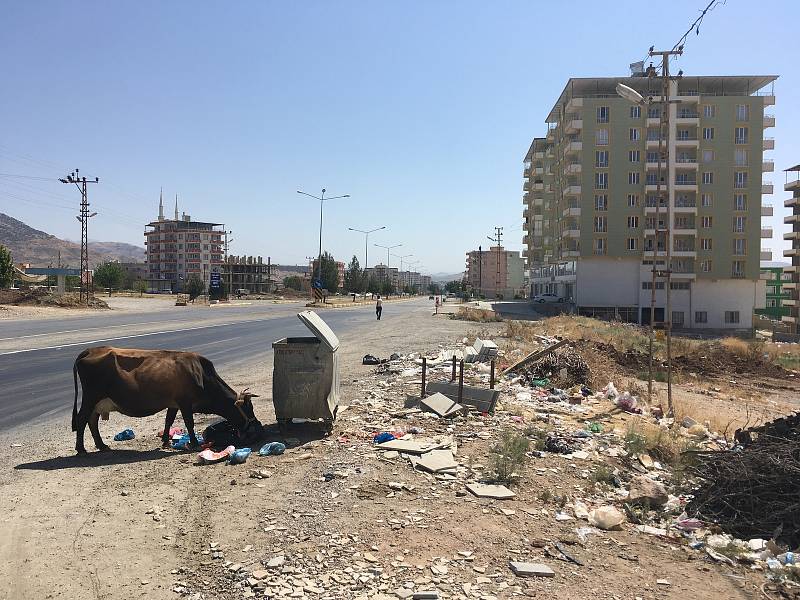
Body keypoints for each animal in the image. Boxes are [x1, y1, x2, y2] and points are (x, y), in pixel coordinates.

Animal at [70, 346, 260, 454]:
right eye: (248, 408)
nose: (257, 426)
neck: (202, 377)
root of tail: (89, 351)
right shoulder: (185, 403)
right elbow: (189, 423)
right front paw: (194, 443)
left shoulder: (173, 404)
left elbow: (168, 420)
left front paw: (166, 441)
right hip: (91, 397)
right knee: (82, 419)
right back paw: (81, 448)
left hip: (97, 401)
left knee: (92, 421)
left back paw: (101, 445)